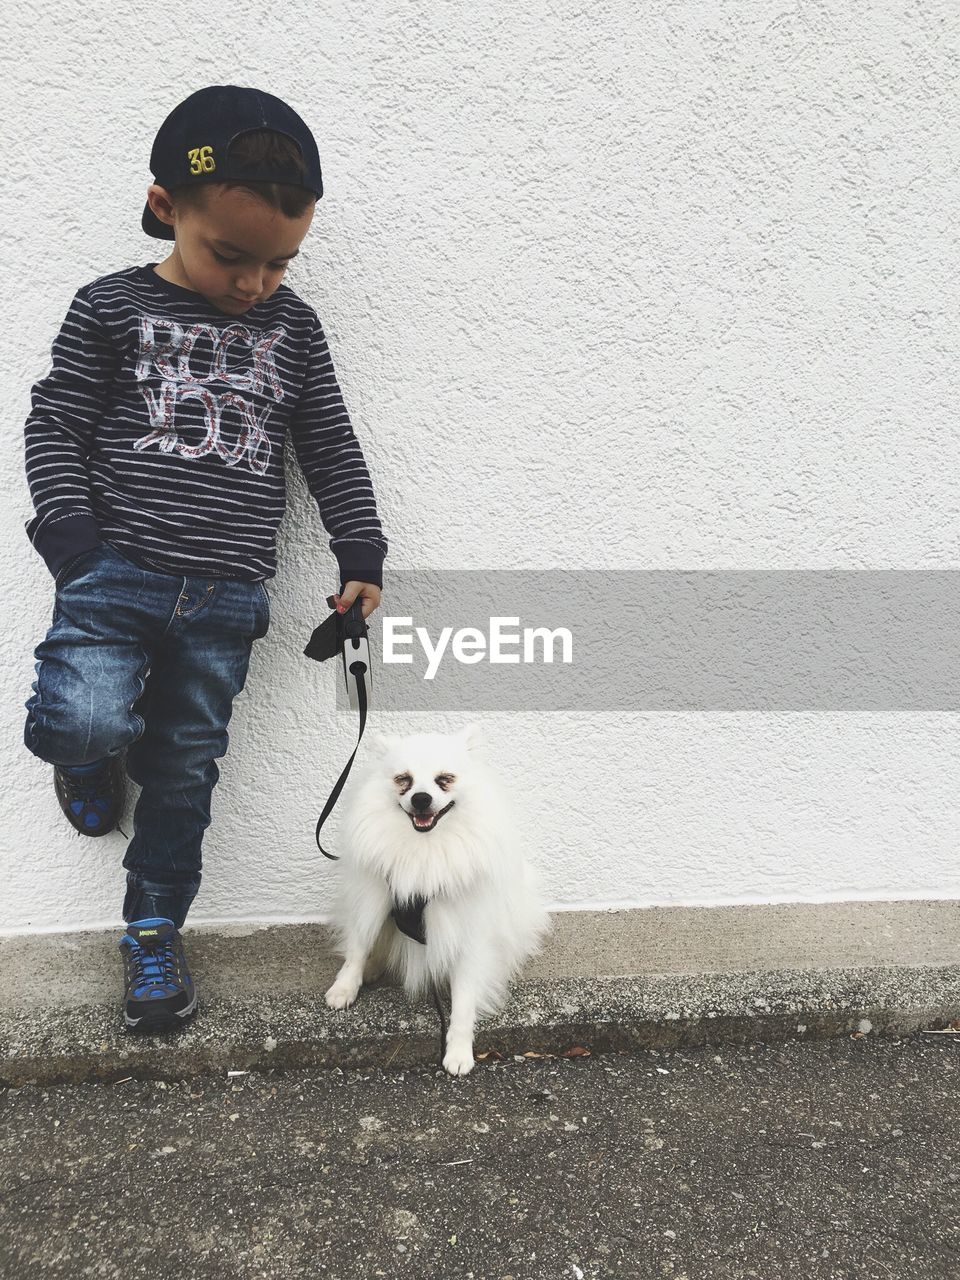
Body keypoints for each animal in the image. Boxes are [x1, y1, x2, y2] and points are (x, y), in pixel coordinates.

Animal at [323, 727, 547, 1075]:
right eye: (404, 779)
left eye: (445, 779)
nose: (421, 798)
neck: (425, 848)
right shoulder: (374, 896)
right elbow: (358, 946)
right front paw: (345, 986)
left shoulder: (469, 930)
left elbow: (465, 997)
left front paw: (458, 1050)